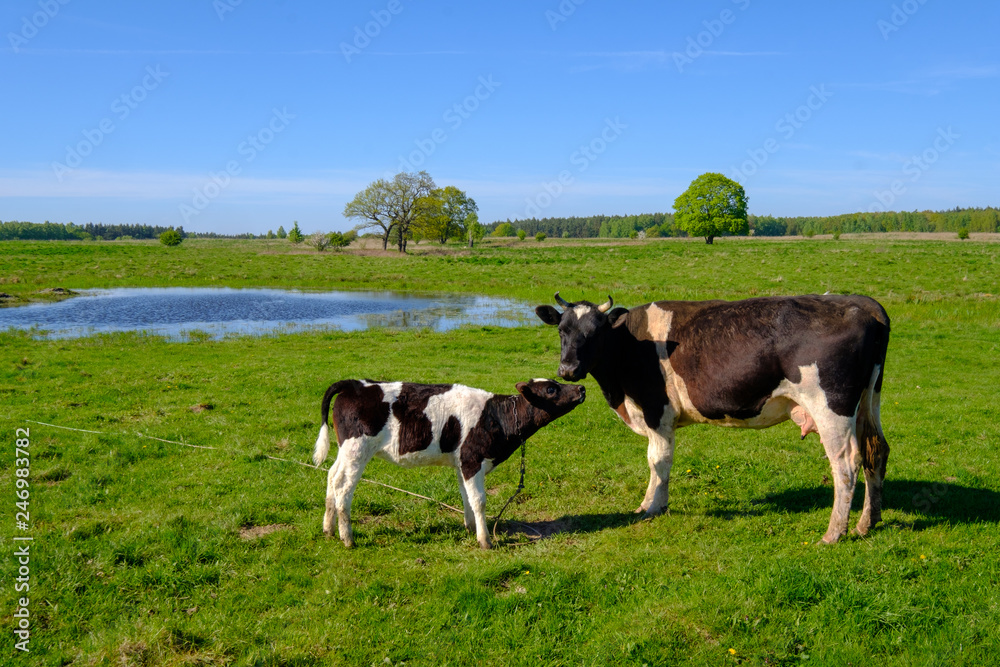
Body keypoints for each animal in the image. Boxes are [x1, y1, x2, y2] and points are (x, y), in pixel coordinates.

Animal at [312, 378, 584, 552]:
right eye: (551, 388)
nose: (581, 387)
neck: (496, 416)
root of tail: (356, 384)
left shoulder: (461, 463)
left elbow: (466, 497)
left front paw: (471, 528)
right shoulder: (472, 460)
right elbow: (479, 500)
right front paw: (485, 541)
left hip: (345, 450)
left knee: (331, 476)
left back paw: (327, 529)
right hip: (358, 449)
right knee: (343, 487)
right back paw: (347, 538)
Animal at [540, 292, 892, 544]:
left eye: (595, 332)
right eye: (562, 330)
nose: (568, 369)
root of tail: (861, 304)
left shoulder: (657, 412)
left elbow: (658, 461)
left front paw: (651, 507)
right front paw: (653, 505)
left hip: (832, 407)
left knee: (845, 464)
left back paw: (833, 534)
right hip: (868, 402)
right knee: (876, 451)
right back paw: (866, 523)